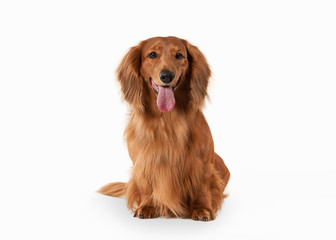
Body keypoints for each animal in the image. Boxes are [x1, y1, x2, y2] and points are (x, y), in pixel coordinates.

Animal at [99, 36, 231, 221]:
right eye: (152, 54)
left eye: (179, 55)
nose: (167, 76)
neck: (166, 119)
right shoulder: (144, 162)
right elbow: (147, 186)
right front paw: (147, 206)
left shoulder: (202, 163)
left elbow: (201, 187)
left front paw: (202, 209)